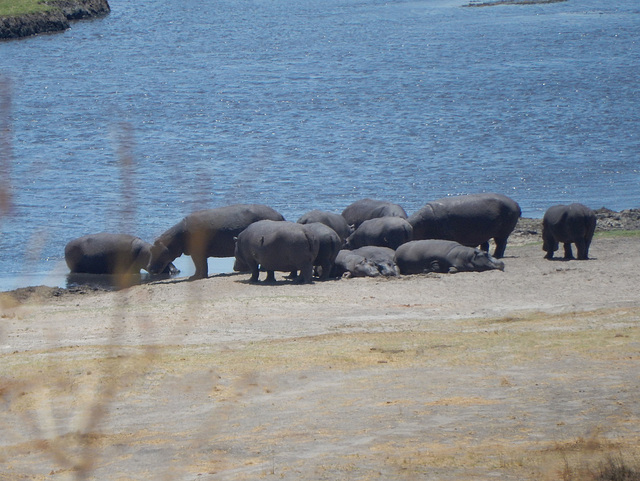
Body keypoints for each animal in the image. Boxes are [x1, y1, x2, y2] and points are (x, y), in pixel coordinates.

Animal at [149, 202, 284, 278]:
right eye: (151, 249)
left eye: (160, 251)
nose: (149, 267)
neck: (176, 238)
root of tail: (280, 215)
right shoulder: (195, 253)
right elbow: (199, 265)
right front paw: (194, 276)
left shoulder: (197, 253)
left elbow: (200, 264)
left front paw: (196, 277)